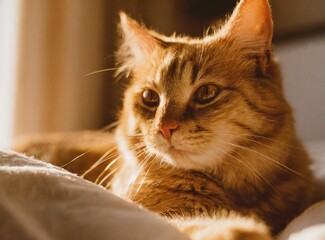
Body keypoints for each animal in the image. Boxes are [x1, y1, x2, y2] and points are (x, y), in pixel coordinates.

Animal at [14, 0, 314, 240]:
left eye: (206, 93)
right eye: (151, 97)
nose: (164, 127)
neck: (237, 190)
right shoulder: (156, 215)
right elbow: (196, 224)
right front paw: (237, 229)